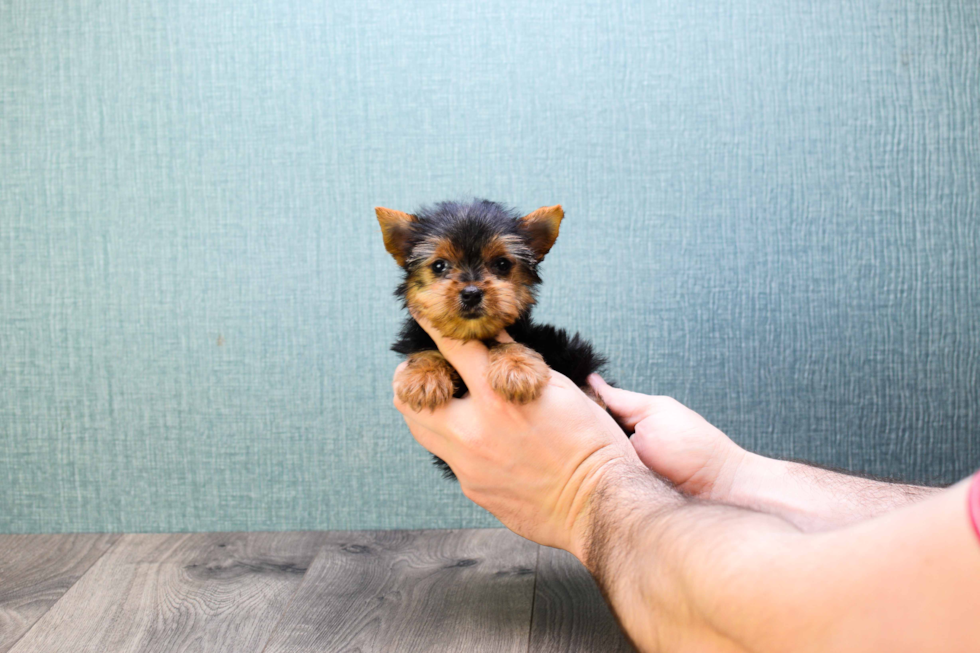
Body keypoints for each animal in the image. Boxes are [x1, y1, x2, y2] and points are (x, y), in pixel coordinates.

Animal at [378, 196, 608, 476]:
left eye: (502, 264)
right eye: (439, 266)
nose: (471, 293)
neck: (474, 333)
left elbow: (510, 344)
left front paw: (517, 368)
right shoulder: (419, 335)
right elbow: (425, 349)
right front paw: (424, 377)